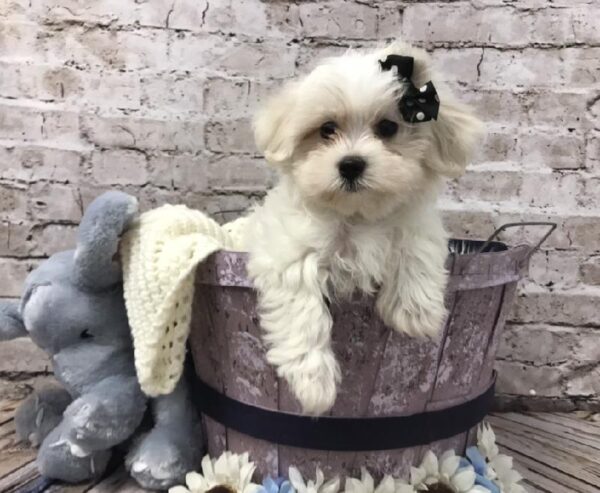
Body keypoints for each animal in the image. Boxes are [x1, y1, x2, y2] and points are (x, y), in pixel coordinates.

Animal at [244, 42, 482, 416]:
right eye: (327, 129)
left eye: (388, 127)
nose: (351, 164)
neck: (358, 215)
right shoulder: (288, 252)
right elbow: (302, 306)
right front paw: (314, 384)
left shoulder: (415, 222)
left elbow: (416, 247)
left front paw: (415, 313)